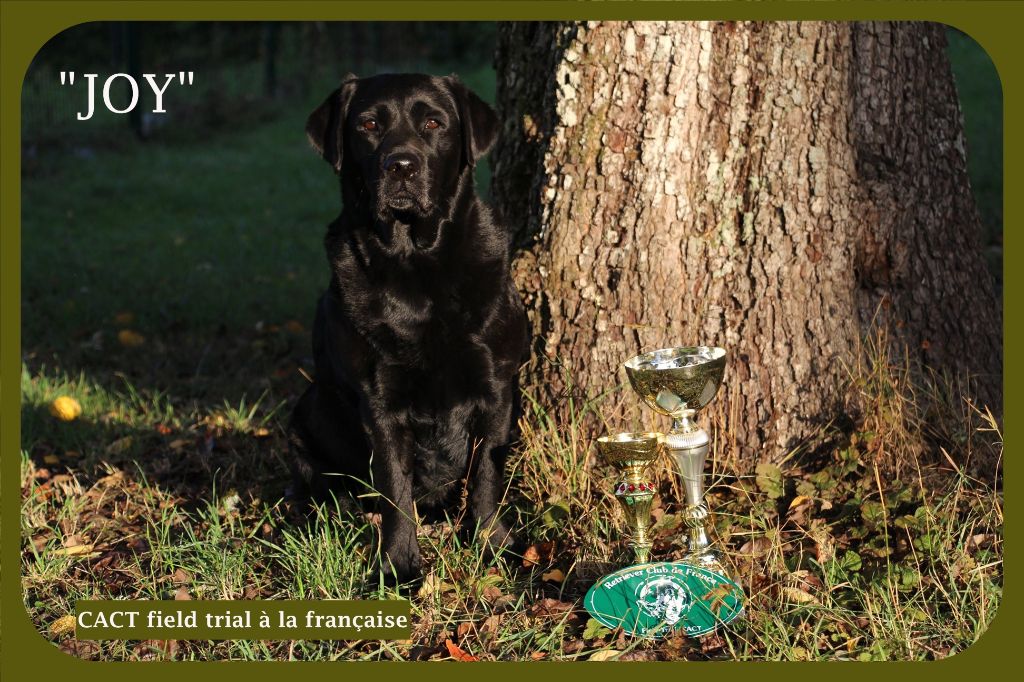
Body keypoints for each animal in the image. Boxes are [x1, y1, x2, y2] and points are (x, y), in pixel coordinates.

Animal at [289, 73, 528, 584]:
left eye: (434, 123)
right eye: (369, 125)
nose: (401, 165)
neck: (415, 264)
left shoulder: (497, 388)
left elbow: (486, 474)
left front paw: (492, 545)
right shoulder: (380, 404)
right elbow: (395, 489)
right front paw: (398, 566)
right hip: (305, 414)